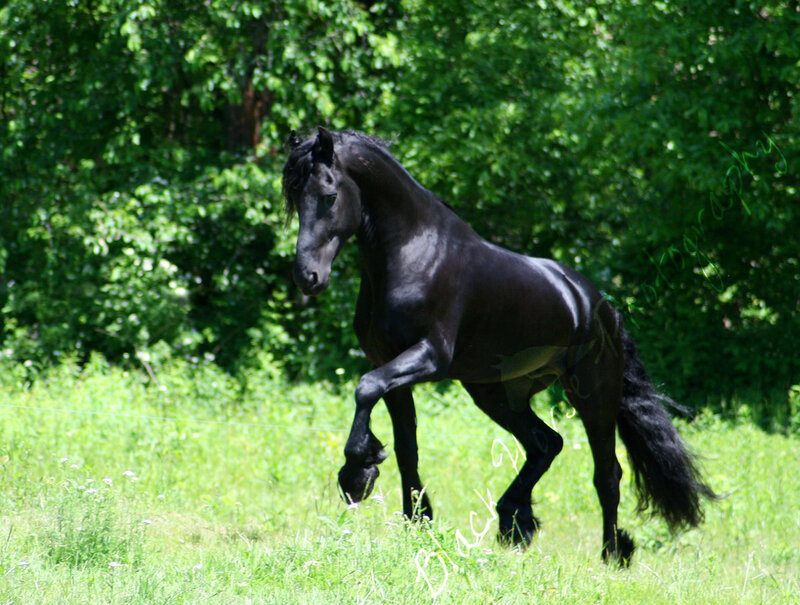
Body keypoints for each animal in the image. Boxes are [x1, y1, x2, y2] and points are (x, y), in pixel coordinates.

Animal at [282, 127, 715, 564]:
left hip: (593, 394)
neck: (414, 253)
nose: (307, 277)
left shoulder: (429, 357)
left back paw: (610, 554)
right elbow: (406, 446)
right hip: (497, 393)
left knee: (606, 474)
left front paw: (357, 474)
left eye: (329, 195)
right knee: (545, 444)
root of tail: (601, 306)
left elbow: (365, 387)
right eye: (295, 195)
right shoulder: (389, 364)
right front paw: (417, 521)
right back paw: (514, 522)